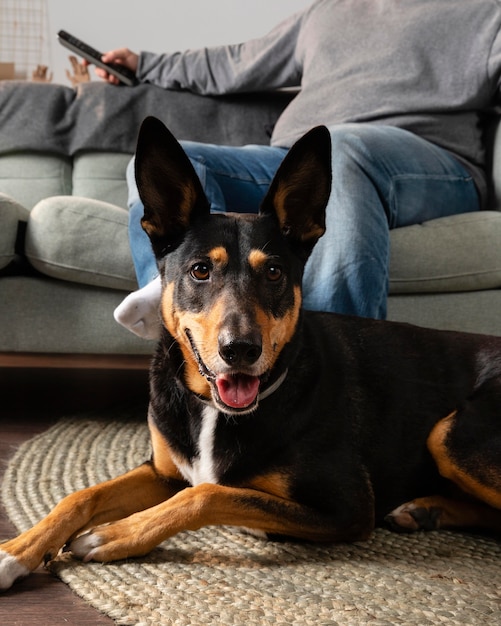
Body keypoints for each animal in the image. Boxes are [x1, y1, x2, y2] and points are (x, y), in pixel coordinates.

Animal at [0, 117, 500, 588]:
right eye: (200, 270)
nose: (239, 349)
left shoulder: (349, 507)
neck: (213, 409)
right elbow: (82, 495)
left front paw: (115, 533)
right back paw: (426, 510)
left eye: (274, 272)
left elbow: (207, 493)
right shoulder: (162, 470)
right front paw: (16, 551)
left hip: (450, 434)